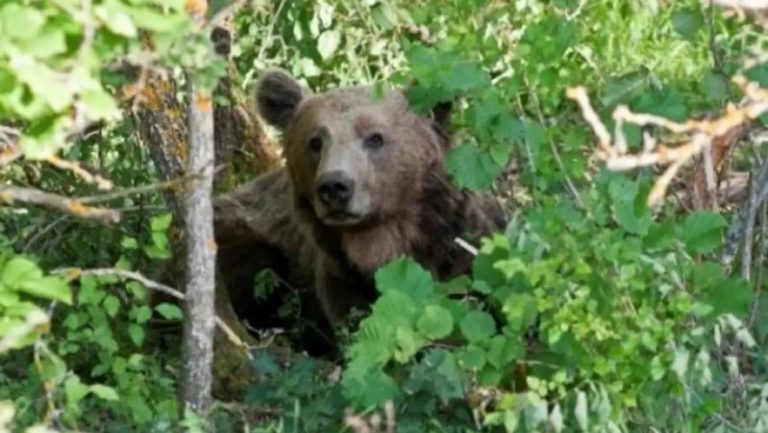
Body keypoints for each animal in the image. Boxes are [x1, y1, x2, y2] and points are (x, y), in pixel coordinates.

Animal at [213, 69, 508, 354]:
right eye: (315, 142)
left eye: (375, 138)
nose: (334, 186)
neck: (380, 243)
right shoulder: (340, 277)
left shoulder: (459, 254)